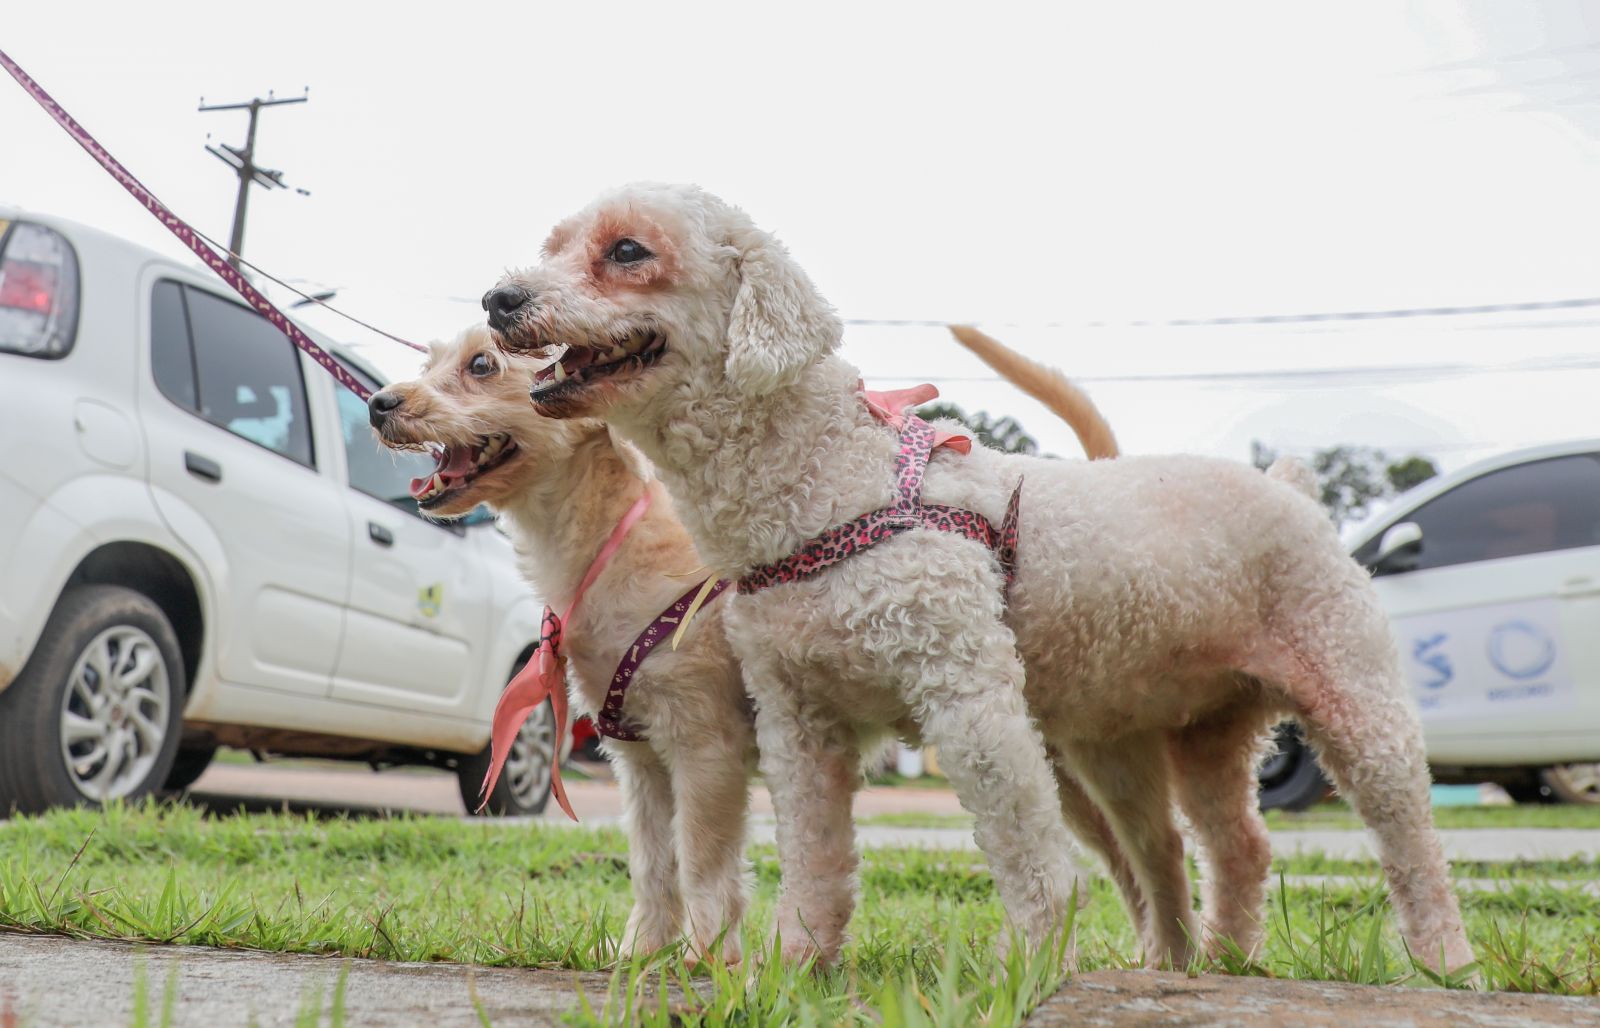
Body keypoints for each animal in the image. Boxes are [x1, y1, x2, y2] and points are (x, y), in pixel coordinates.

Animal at [366, 320, 1120, 960]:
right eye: (428, 362)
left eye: (482, 364)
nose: (378, 402)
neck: (613, 548)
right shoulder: (640, 762)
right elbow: (653, 867)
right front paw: (641, 953)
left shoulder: (707, 750)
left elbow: (703, 865)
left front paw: (707, 959)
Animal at [483, 180, 1472, 973]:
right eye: (553, 245)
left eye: (628, 251)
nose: (498, 297)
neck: (832, 483)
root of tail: (1292, 488)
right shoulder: (799, 720)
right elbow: (816, 856)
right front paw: (796, 964)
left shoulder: (966, 697)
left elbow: (1025, 852)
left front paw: (1027, 965)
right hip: (1176, 738)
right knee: (1229, 849)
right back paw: (1215, 963)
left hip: (1349, 692)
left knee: (1407, 836)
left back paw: (1444, 962)